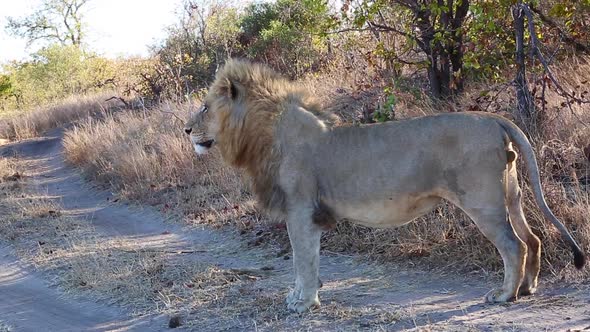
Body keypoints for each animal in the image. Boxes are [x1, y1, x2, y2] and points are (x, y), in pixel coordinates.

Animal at [185, 59, 588, 314]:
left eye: (204, 107)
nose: (186, 130)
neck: (262, 134)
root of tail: (494, 119)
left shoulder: (300, 210)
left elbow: (303, 258)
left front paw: (303, 304)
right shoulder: (304, 213)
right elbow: (305, 260)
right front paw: (298, 298)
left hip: (483, 202)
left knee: (513, 244)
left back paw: (505, 295)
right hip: (512, 194)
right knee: (533, 238)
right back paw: (527, 288)